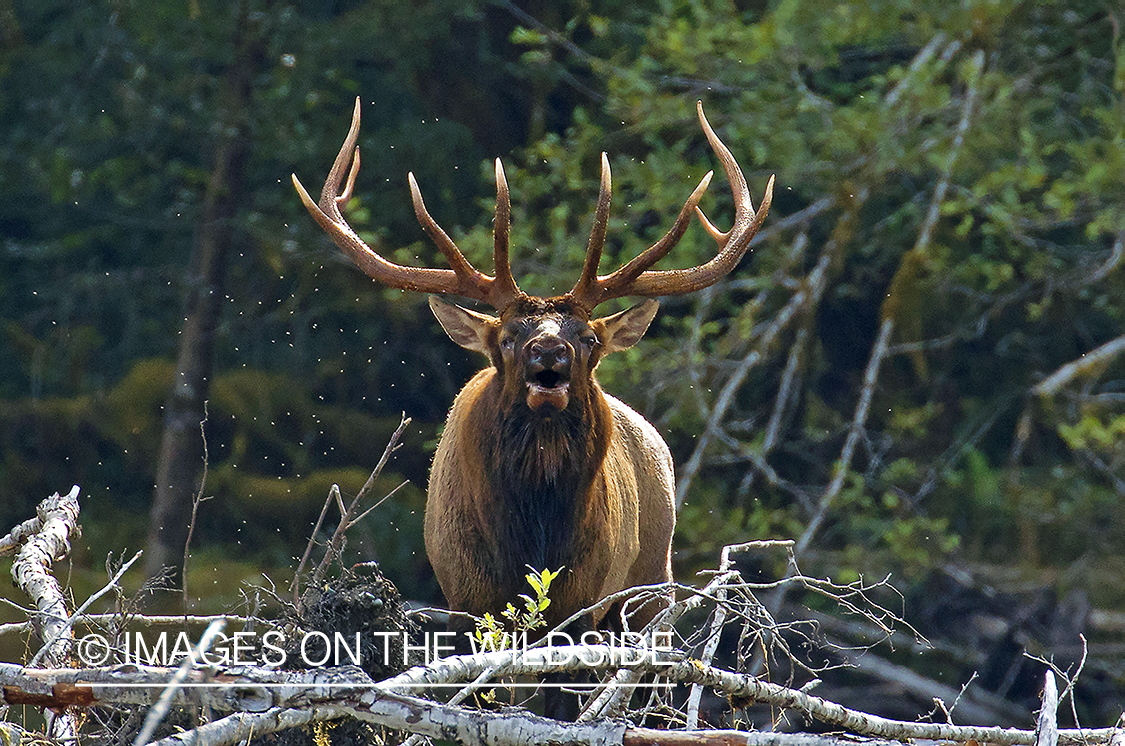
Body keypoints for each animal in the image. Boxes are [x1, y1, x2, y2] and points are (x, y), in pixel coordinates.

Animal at [292, 97, 774, 648]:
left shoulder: (586, 598)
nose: (549, 351)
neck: (532, 538)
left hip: (653, 583)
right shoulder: (464, 595)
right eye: (506, 337)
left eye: (588, 338)